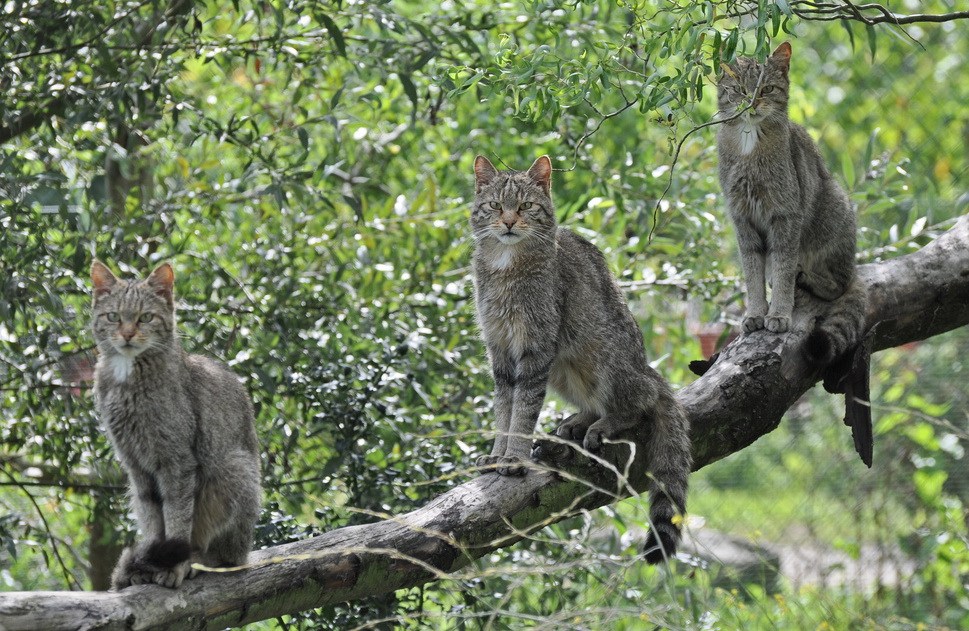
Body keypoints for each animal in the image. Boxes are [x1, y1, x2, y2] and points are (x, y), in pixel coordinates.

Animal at [91, 260, 262, 588]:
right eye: (113, 316)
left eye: (145, 317)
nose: (127, 334)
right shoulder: (136, 466)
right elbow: (154, 521)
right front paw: (152, 560)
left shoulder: (176, 462)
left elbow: (177, 517)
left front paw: (174, 565)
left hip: (234, 468)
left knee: (228, 557)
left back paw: (198, 559)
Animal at [470, 157, 692, 564]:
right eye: (495, 205)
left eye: (525, 206)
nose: (508, 222)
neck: (505, 266)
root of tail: (651, 371)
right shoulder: (500, 351)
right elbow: (503, 410)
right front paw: (496, 455)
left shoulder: (535, 349)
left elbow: (522, 412)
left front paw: (513, 459)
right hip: (564, 368)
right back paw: (577, 421)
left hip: (598, 353)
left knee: (640, 401)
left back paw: (604, 423)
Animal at [716, 40, 872, 464]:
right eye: (740, 91)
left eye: (766, 89)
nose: (752, 104)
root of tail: (856, 266)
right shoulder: (743, 222)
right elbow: (753, 275)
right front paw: (756, 313)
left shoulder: (785, 217)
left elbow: (783, 270)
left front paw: (779, 314)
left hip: (832, 211)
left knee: (835, 284)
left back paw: (811, 281)